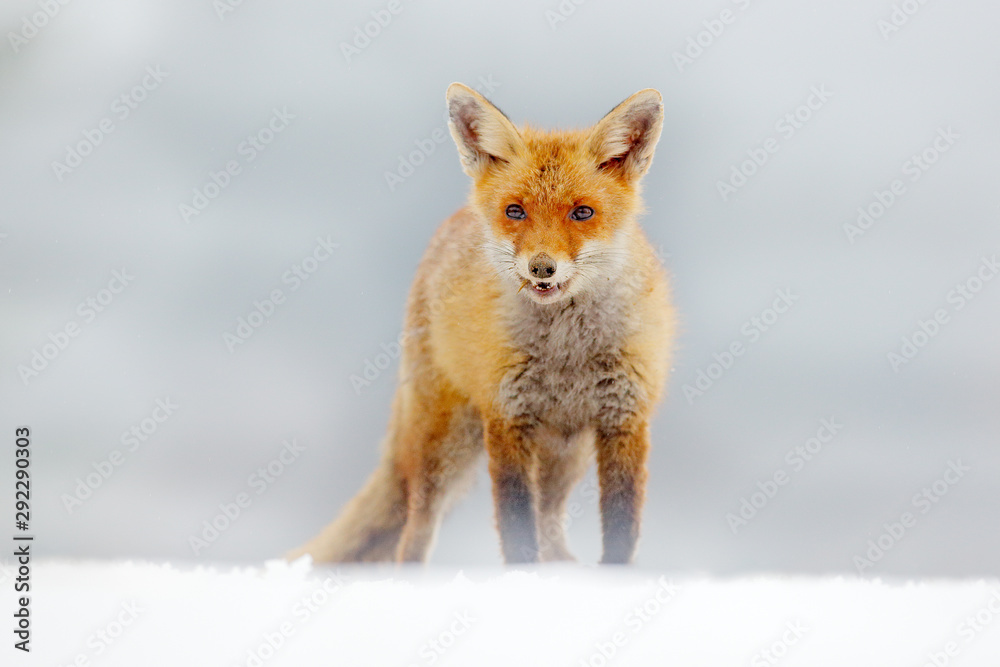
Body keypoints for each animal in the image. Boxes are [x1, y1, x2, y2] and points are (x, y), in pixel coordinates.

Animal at [289, 83, 674, 565]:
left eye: (582, 213)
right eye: (515, 211)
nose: (541, 268)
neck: (566, 354)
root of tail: (450, 225)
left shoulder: (625, 419)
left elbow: (621, 531)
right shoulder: (506, 418)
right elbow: (517, 532)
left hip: (566, 453)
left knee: (550, 520)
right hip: (446, 444)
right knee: (415, 533)